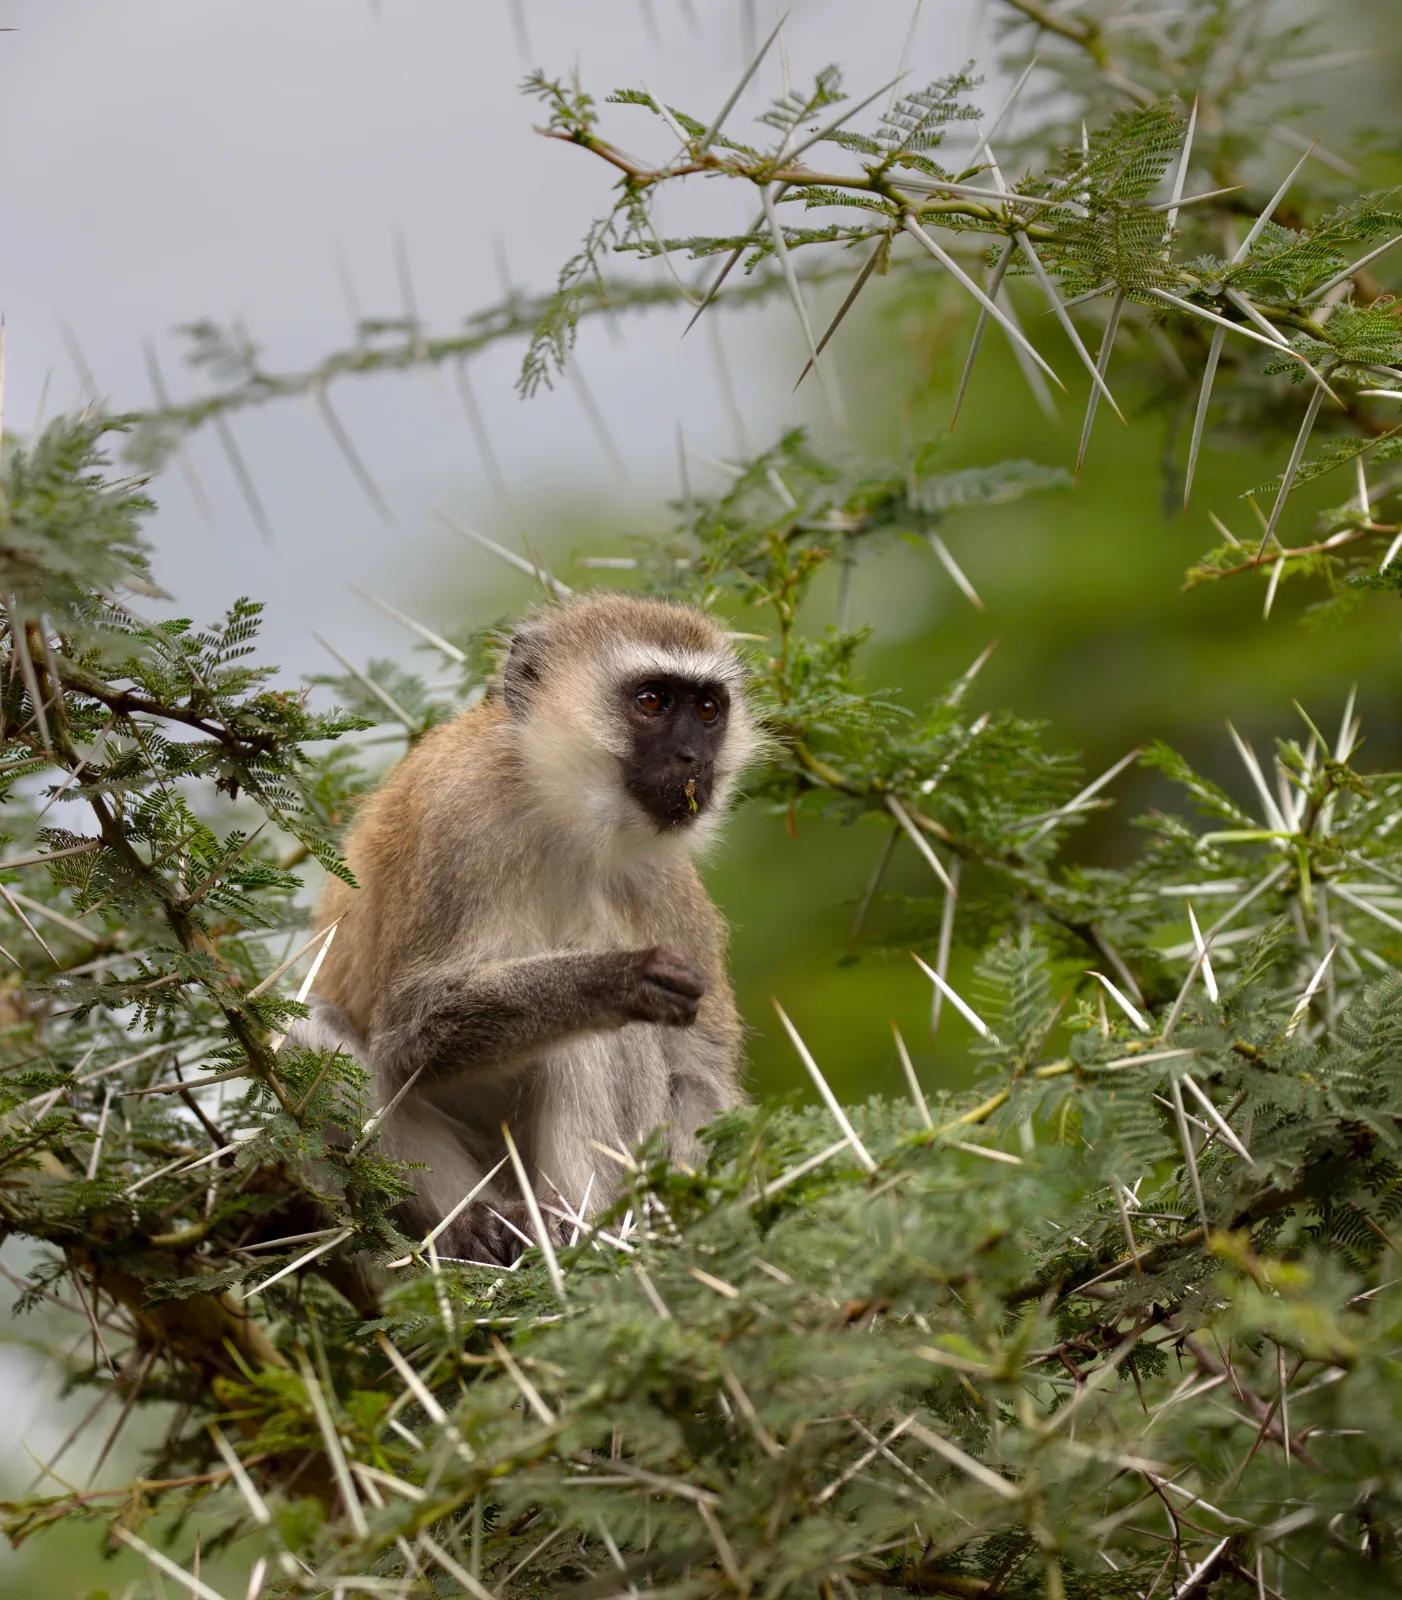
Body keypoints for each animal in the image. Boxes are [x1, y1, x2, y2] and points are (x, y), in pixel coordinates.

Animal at [284, 592, 762, 1265]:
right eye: (652, 701)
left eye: (707, 709)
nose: (696, 759)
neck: (564, 817)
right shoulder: (458, 820)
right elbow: (412, 1037)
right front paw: (617, 977)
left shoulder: (668, 884)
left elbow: (702, 1076)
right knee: (298, 1027)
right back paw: (478, 1227)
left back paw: (583, 1231)